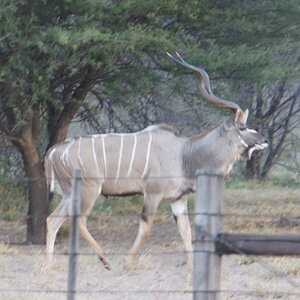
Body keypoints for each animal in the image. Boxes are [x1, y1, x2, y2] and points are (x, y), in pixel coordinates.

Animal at [44, 52, 268, 270]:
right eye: (242, 128)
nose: (264, 140)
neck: (185, 154)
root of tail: (54, 151)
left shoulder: (178, 200)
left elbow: (186, 230)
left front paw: (191, 266)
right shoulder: (152, 193)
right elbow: (146, 225)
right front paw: (127, 262)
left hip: (70, 193)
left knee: (53, 219)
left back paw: (50, 263)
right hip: (89, 190)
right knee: (79, 219)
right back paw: (106, 260)